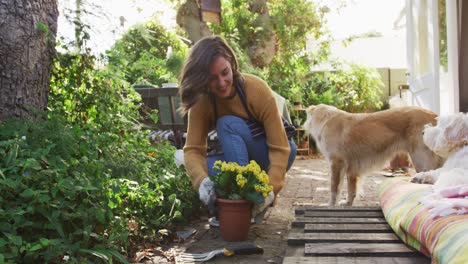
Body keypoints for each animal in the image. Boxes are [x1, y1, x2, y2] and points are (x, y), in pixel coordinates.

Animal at [304, 104, 442, 205]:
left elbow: (334, 189)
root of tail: (435, 115)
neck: (326, 120)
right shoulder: (351, 169)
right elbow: (351, 190)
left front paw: (331, 205)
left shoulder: (337, 163)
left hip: (420, 159)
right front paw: (348, 203)